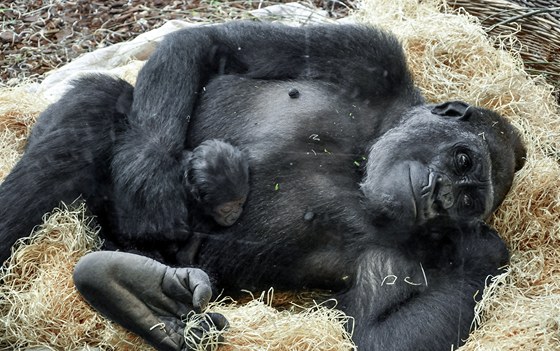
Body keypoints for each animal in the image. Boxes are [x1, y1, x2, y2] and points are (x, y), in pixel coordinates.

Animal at [1, 22, 524, 351]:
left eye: (468, 202)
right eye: (462, 160)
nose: (439, 195)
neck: (364, 158)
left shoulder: (419, 259)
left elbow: (380, 338)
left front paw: (482, 247)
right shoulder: (368, 56)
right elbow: (211, 43)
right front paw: (151, 185)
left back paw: (144, 304)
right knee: (95, 104)